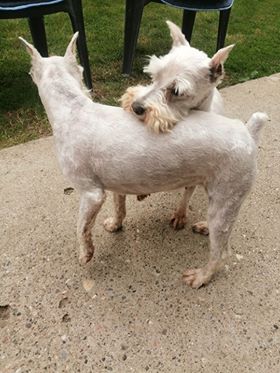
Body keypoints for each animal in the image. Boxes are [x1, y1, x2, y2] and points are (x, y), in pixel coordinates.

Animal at [19, 32, 266, 288]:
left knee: (222, 253)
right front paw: (115, 225)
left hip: (226, 196)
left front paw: (85, 254)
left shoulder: (91, 194)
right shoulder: (116, 184)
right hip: (221, 198)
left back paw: (200, 277)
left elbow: (81, 227)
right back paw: (205, 227)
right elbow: (119, 208)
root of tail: (248, 131)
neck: (73, 109)